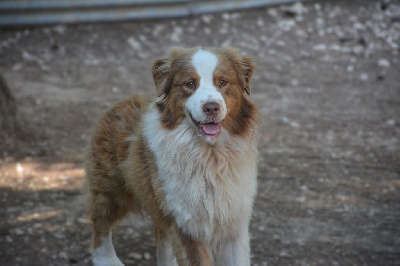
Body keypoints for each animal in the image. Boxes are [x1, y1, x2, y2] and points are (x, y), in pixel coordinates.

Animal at [85, 46, 260, 264]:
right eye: (190, 84)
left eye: (222, 82)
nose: (211, 107)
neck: (210, 156)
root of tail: (119, 104)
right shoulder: (186, 226)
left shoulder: (234, 225)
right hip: (111, 188)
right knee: (100, 220)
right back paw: (107, 259)